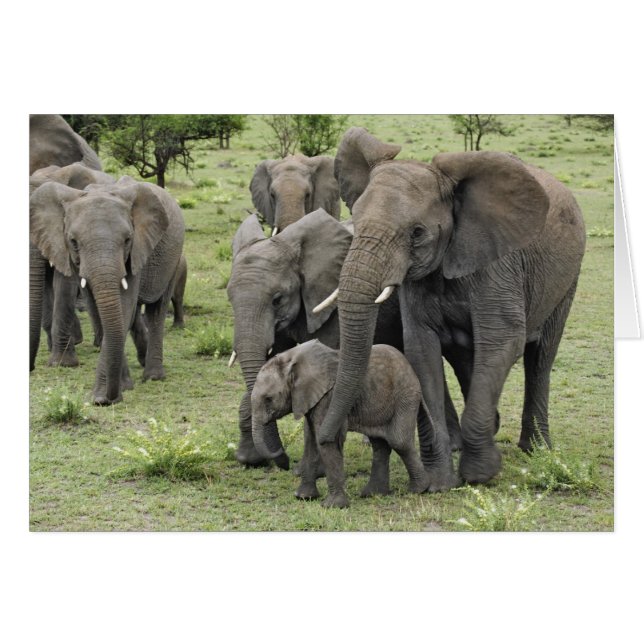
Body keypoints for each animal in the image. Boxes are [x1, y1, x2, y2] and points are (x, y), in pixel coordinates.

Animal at [226, 208, 403, 472]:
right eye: (230, 299)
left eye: (277, 299)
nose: (283, 461)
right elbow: (265, 366)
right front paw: (250, 460)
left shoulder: (332, 305)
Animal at [251, 340, 433, 508]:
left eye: (269, 399)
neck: (292, 358)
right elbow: (310, 440)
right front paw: (303, 497)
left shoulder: (328, 397)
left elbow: (326, 442)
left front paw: (332, 506)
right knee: (380, 444)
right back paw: (373, 493)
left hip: (406, 396)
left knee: (399, 441)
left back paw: (419, 489)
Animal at [315, 127, 586, 487]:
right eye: (355, 223)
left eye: (417, 233)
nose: (327, 438)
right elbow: (421, 350)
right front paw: (439, 482)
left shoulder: (498, 266)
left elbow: (503, 341)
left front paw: (479, 475)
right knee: (465, 358)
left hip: (567, 277)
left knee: (540, 357)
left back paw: (536, 449)